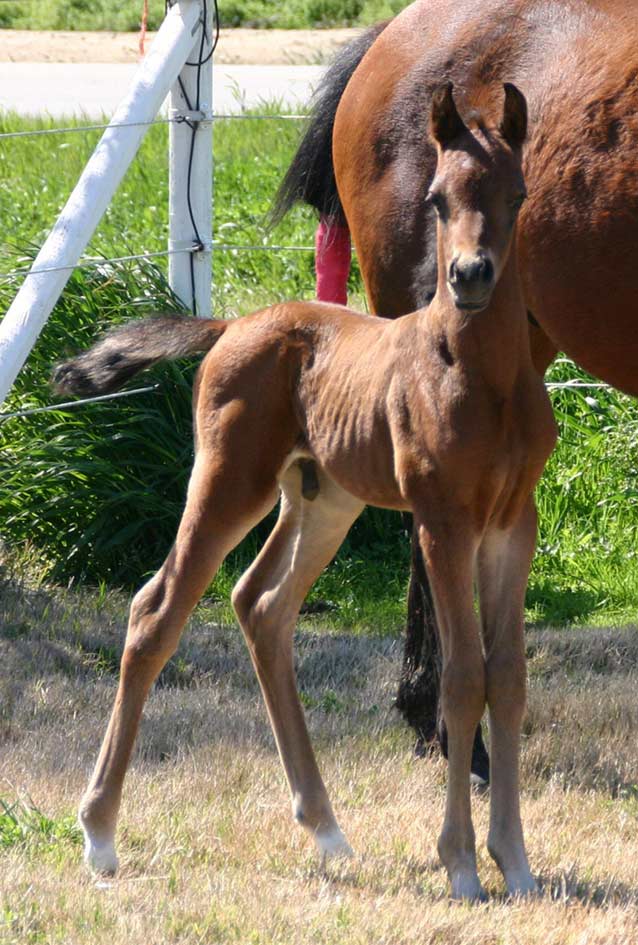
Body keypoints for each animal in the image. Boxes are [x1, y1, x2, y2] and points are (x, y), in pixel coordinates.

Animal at [53, 83, 556, 900]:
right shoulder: (443, 520)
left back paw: (326, 828)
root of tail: (230, 324)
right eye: (437, 199)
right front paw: (461, 866)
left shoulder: (514, 522)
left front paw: (517, 864)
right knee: (156, 611)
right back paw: (98, 834)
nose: (471, 276)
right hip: (230, 481)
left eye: (515, 194)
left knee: (261, 605)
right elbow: (462, 678)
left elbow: (507, 678)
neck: (487, 380)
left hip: (323, 500)